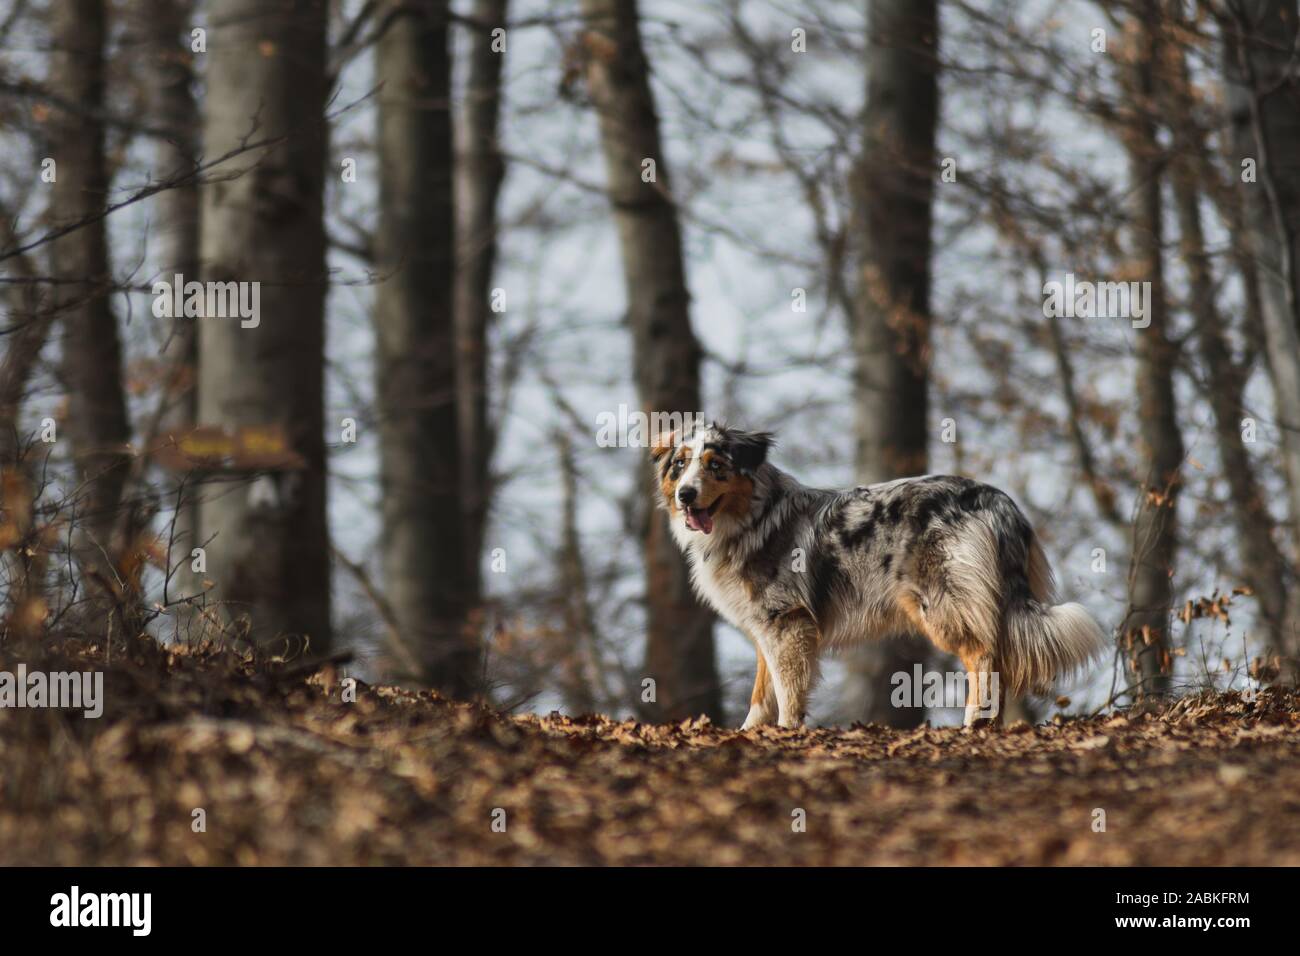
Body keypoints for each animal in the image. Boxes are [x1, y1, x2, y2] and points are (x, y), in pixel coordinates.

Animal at [650, 421, 1107, 728]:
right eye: (680, 465)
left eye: (716, 465)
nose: (685, 495)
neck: (751, 518)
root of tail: (997, 501)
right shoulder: (766, 627)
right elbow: (762, 694)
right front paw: (750, 735)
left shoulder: (787, 623)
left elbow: (787, 692)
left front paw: (786, 733)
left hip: (944, 604)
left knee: (983, 658)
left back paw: (972, 725)